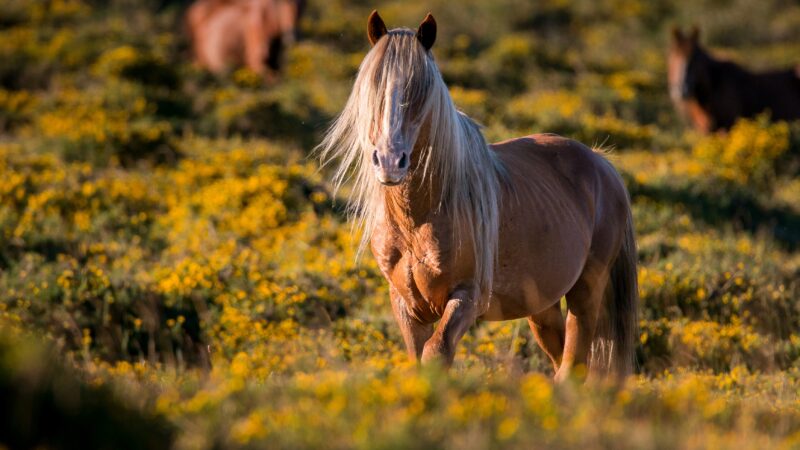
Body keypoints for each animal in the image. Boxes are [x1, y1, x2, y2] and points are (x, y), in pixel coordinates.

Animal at [318, 11, 639, 381]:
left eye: (420, 91)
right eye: (374, 87)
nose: (389, 160)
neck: (420, 218)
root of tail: (602, 164)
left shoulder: (467, 297)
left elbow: (436, 352)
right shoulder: (406, 305)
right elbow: (419, 357)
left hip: (586, 292)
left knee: (573, 363)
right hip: (542, 306)